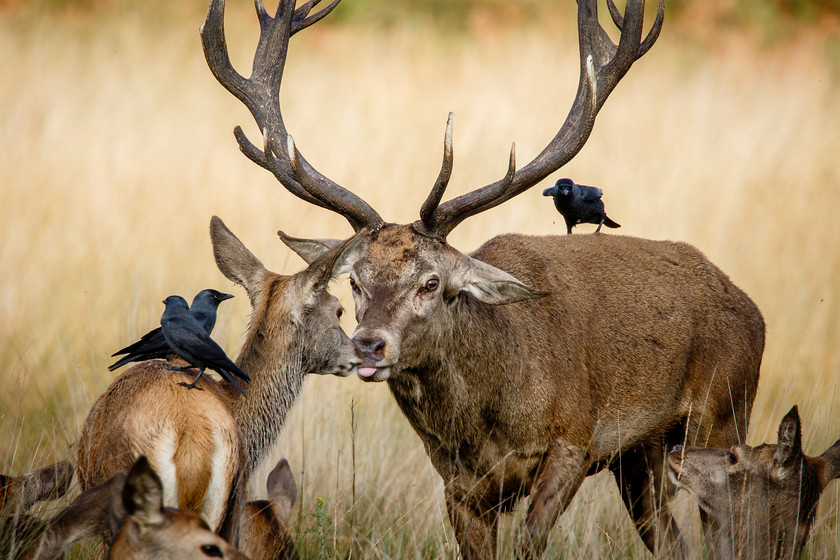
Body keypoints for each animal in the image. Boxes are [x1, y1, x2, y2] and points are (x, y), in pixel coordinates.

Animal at [200, 0, 764, 556]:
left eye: (432, 283)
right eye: (354, 284)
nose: (368, 345)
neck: (486, 424)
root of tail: (751, 308)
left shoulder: (575, 440)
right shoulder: (459, 485)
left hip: (723, 413)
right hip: (642, 457)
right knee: (672, 541)